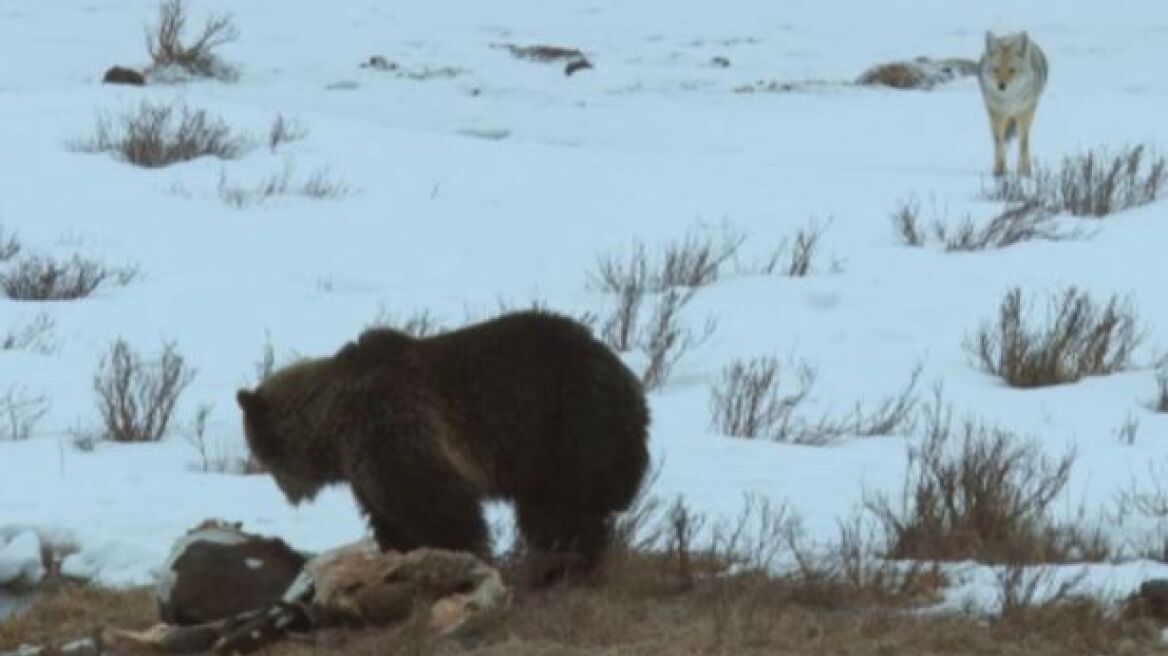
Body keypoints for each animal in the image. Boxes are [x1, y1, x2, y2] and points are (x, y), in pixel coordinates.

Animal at [232, 308, 654, 583]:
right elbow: (387, 517)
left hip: (566, 425)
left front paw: (463, 556)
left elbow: (438, 506)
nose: (286, 492)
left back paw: (565, 565)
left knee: (562, 509)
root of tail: (630, 382)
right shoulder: (367, 468)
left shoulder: (393, 428)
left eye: (262, 453)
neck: (334, 425)